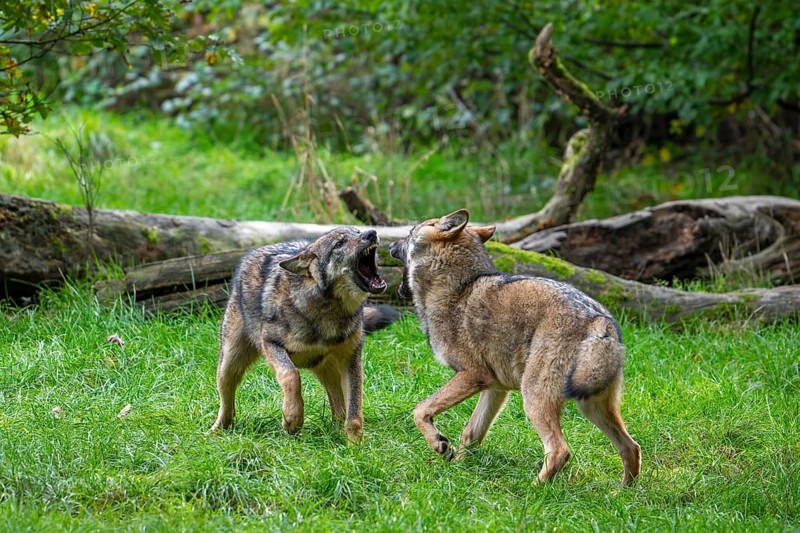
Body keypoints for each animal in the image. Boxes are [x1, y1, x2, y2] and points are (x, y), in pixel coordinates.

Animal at [210, 228, 398, 442]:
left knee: (339, 410)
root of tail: (254, 251)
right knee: (227, 406)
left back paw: (335, 433)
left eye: (357, 231)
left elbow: (354, 410)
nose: (371, 232)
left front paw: (356, 444)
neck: (328, 312)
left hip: (330, 371)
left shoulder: (351, 360)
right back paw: (216, 431)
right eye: (339, 244)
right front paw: (292, 420)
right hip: (228, 366)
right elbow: (292, 376)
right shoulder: (271, 344)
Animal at [389, 209, 641, 485]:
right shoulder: (495, 388)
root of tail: (599, 319)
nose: (389, 245)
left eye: (409, 233)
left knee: (559, 450)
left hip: (535, 398)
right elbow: (471, 433)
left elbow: (420, 410)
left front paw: (440, 445)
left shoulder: (472, 375)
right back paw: (624, 492)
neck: (458, 289)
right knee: (631, 447)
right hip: (590, 406)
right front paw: (457, 471)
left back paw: (534, 489)